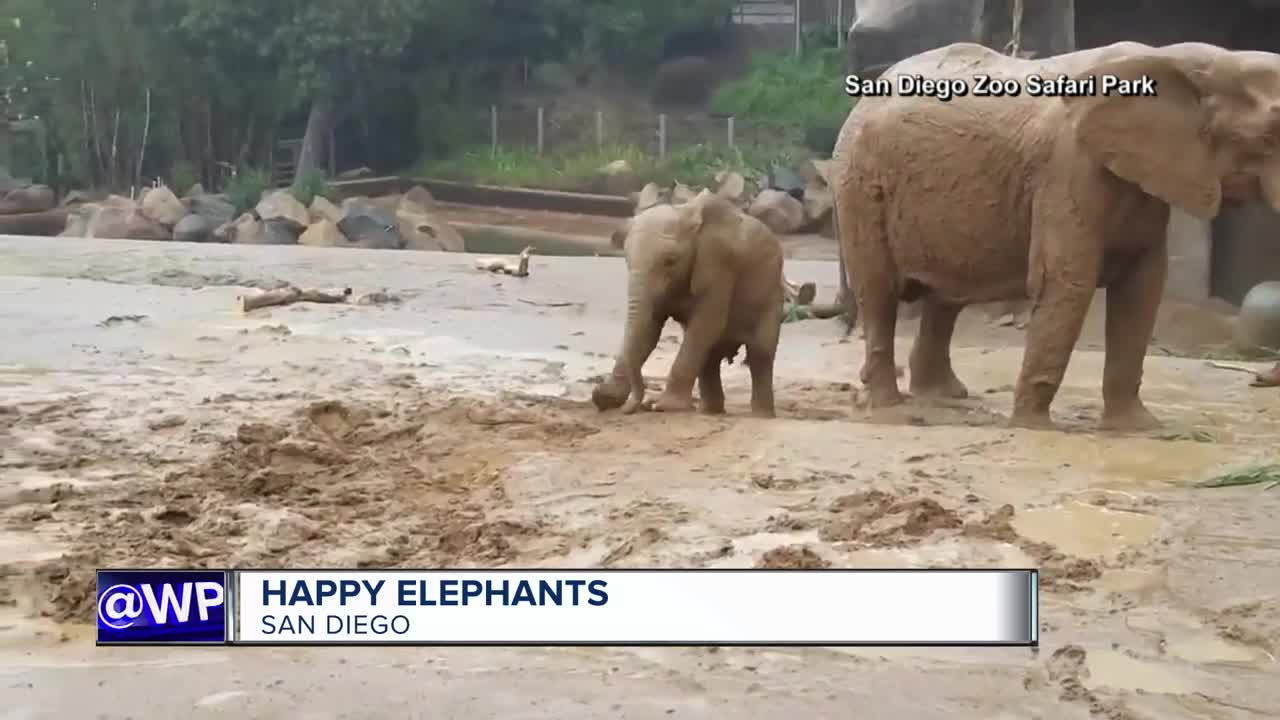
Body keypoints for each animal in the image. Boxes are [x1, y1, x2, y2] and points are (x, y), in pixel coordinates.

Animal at [591, 191, 785, 417]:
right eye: (627, 260)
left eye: (670, 261)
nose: (629, 408)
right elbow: (650, 329)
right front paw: (604, 398)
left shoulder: (720, 264)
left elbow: (707, 323)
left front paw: (663, 406)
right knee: (710, 357)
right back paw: (709, 411)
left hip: (772, 294)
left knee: (759, 353)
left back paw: (761, 416)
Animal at [832, 41, 1280, 431]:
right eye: (1271, 134)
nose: (1259, 381)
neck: (1183, 59)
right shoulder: (1067, 168)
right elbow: (1068, 282)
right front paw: (1033, 428)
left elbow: (1143, 287)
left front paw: (1141, 429)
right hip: (860, 185)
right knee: (878, 292)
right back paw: (891, 409)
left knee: (946, 299)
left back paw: (941, 397)